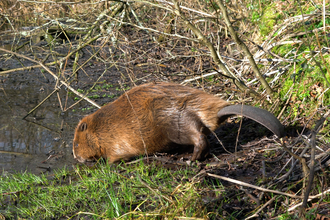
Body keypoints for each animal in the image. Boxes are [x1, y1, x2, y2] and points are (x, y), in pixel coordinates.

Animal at [72, 81, 284, 162]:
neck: (100, 128)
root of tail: (217, 110)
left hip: (175, 123)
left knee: (199, 138)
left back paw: (190, 159)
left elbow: (115, 157)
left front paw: (106, 164)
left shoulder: (115, 142)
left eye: (76, 144)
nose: (76, 157)